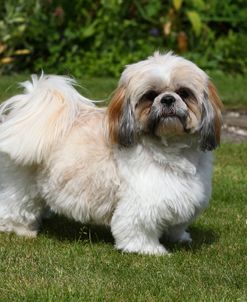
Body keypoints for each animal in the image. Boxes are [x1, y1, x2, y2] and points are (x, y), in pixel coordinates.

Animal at [0, 52, 222, 255]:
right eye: (150, 95)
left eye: (184, 93)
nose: (167, 99)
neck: (170, 147)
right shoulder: (144, 200)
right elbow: (138, 228)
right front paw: (149, 249)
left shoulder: (183, 195)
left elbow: (177, 224)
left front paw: (179, 237)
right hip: (23, 185)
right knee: (15, 205)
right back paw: (22, 229)